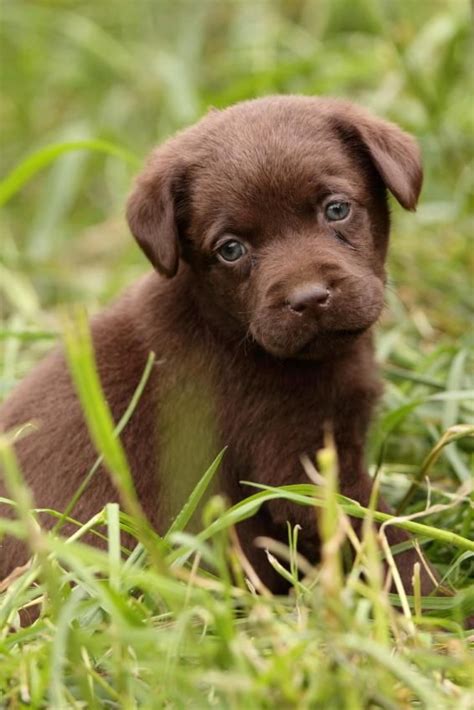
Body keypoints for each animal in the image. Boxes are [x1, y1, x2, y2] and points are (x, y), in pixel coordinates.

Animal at [0, 96, 432, 596]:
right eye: (231, 249)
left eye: (337, 209)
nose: (308, 299)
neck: (228, 330)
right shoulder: (299, 462)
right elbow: (383, 539)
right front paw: (437, 597)